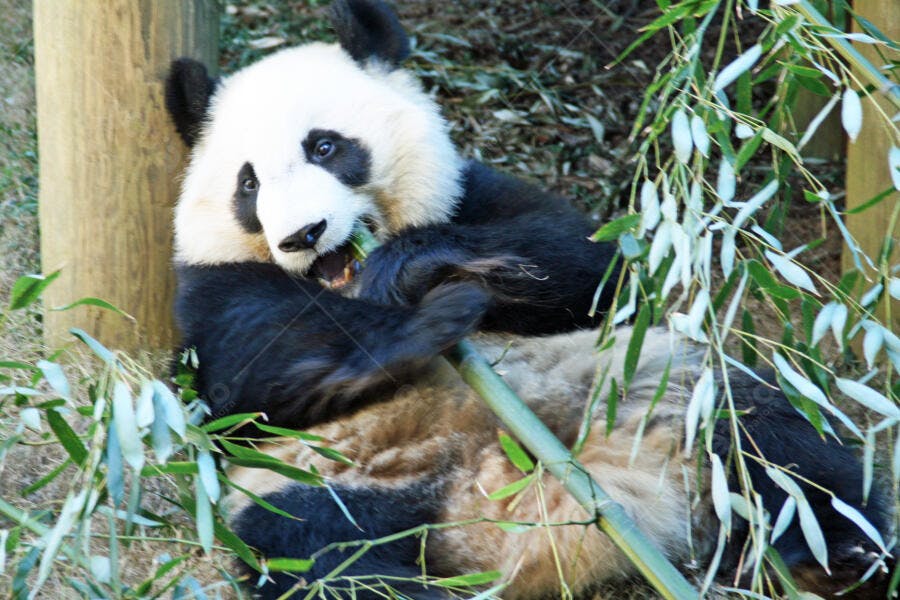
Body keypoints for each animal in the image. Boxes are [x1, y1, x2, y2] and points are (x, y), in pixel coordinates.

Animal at [164, 1, 893, 598]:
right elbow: (239, 375)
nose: (302, 234)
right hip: (311, 482)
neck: (344, 284)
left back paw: (839, 559)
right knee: (324, 559)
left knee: (774, 444)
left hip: (660, 392)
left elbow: (586, 267)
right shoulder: (210, 290)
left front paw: (423, 266)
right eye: (249, 184)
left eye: (324, 146)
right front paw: (416, 327)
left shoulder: (474, 195)